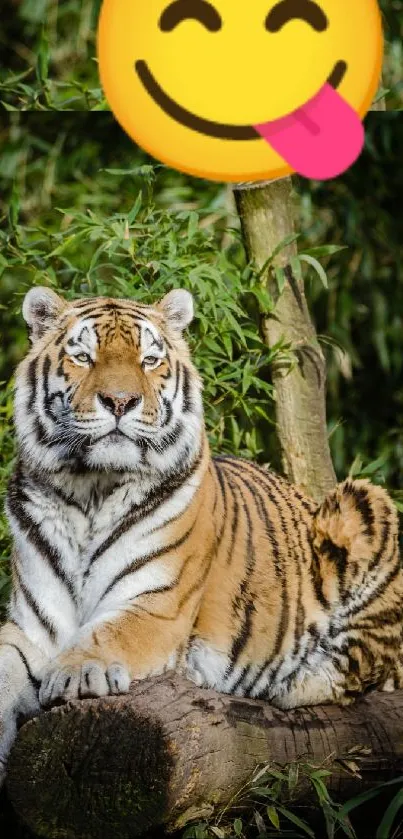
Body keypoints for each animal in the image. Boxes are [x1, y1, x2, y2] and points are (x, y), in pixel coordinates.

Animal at [0, 286, 402, 784]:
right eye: (83, 356)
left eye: (149, 360)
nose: (120, 401)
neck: (89, 490)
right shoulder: (34, 626)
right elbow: (5, 667)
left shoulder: (156, 605)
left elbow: (107, 633)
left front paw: (74, 672)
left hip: (364, 502)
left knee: (359, 670)